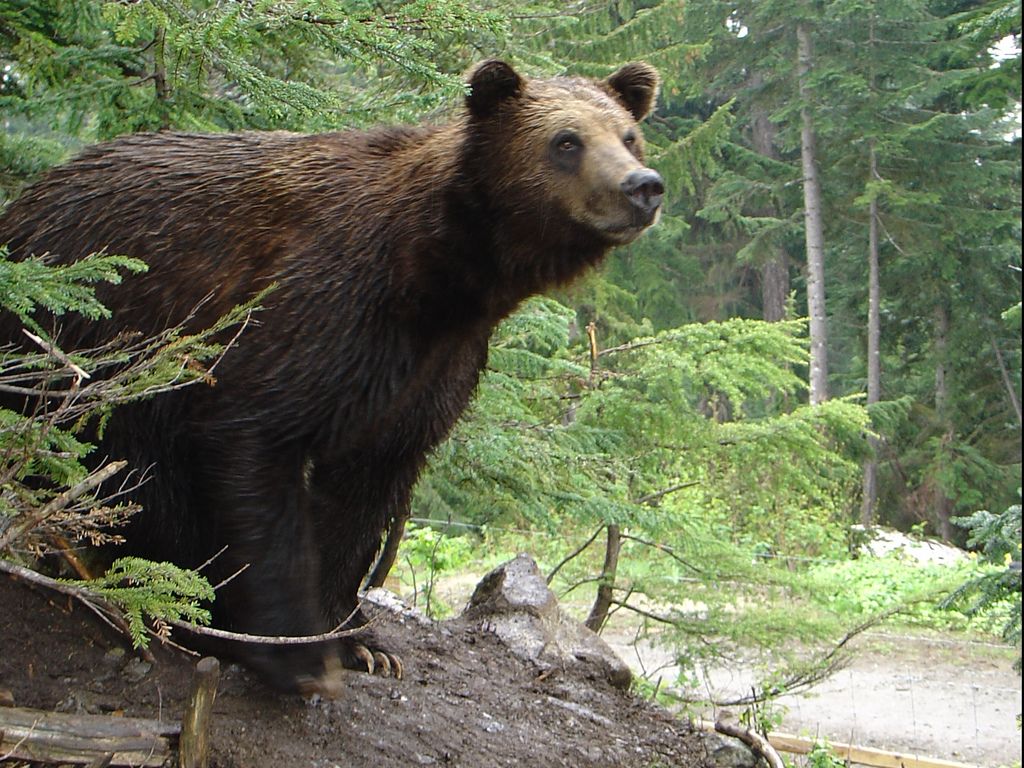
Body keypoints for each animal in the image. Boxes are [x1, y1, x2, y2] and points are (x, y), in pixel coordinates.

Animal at [0, 60, 663, 694]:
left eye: (629, 135)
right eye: (566, 141)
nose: (642, 186)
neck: (446, 278)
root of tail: (32, 194)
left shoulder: (430, 370)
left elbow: (362, 494)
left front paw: (358, 640)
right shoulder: (323, 308)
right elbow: (257, 444)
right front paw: (293, 651)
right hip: (95, 336)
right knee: (132, 471)